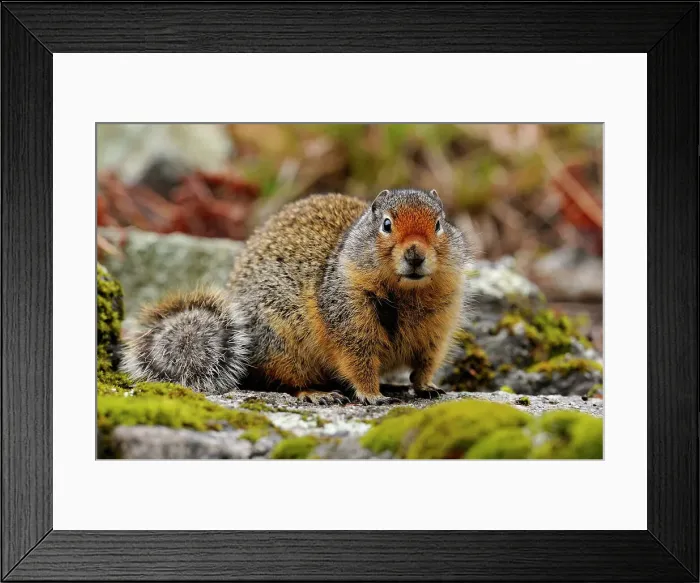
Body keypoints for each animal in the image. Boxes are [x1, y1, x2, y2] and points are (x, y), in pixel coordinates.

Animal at [120, 188, 471, 404]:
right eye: (386, 224)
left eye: (439, 224)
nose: (415, 255)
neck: (406, 294)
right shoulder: (350, 322)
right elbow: (358, 362)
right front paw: (371, 394)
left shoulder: (438, 329)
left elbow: (426, 363)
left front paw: (427, 387)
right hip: (284, 345)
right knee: (285, 381)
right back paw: (317, 393)